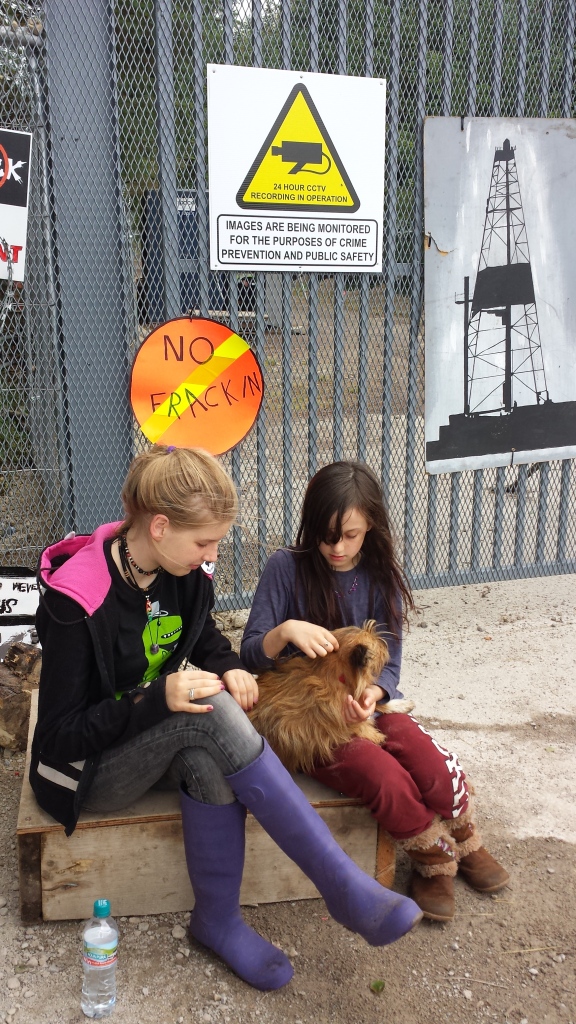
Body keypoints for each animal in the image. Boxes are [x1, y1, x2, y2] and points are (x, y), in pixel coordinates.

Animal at [248, 618, 412, 770]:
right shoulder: (331, 725)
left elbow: (374, 703)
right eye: (376, 646)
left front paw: (401, 704)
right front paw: (377, 736)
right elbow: (359, 725)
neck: (334, 675)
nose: (385, 645)